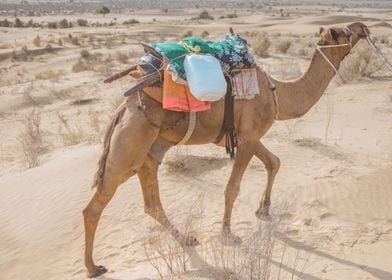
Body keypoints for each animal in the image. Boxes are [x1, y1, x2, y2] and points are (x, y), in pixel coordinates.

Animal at [82, 22, 370, 278]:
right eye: (343, 31)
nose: (362, 27)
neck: (277, 91)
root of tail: (123, 109)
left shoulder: (245, 135)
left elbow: (274, 161)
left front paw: (263, 210)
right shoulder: (250, 135)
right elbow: (233, 188)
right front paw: (228, 234)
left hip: (148, 150)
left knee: (151, 202)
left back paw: (186, 239)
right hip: (130, 143)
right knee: (95, 206)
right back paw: (93, 268)